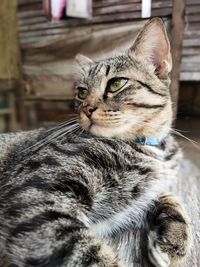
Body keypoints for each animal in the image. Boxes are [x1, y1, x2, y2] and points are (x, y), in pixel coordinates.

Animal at [0, 17, 192, 266]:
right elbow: (90, 255)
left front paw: (174, 236)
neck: (150, 145)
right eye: (82, 92)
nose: (86, 109)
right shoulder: (33, 194)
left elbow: (170, 196)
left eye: (116, 83)